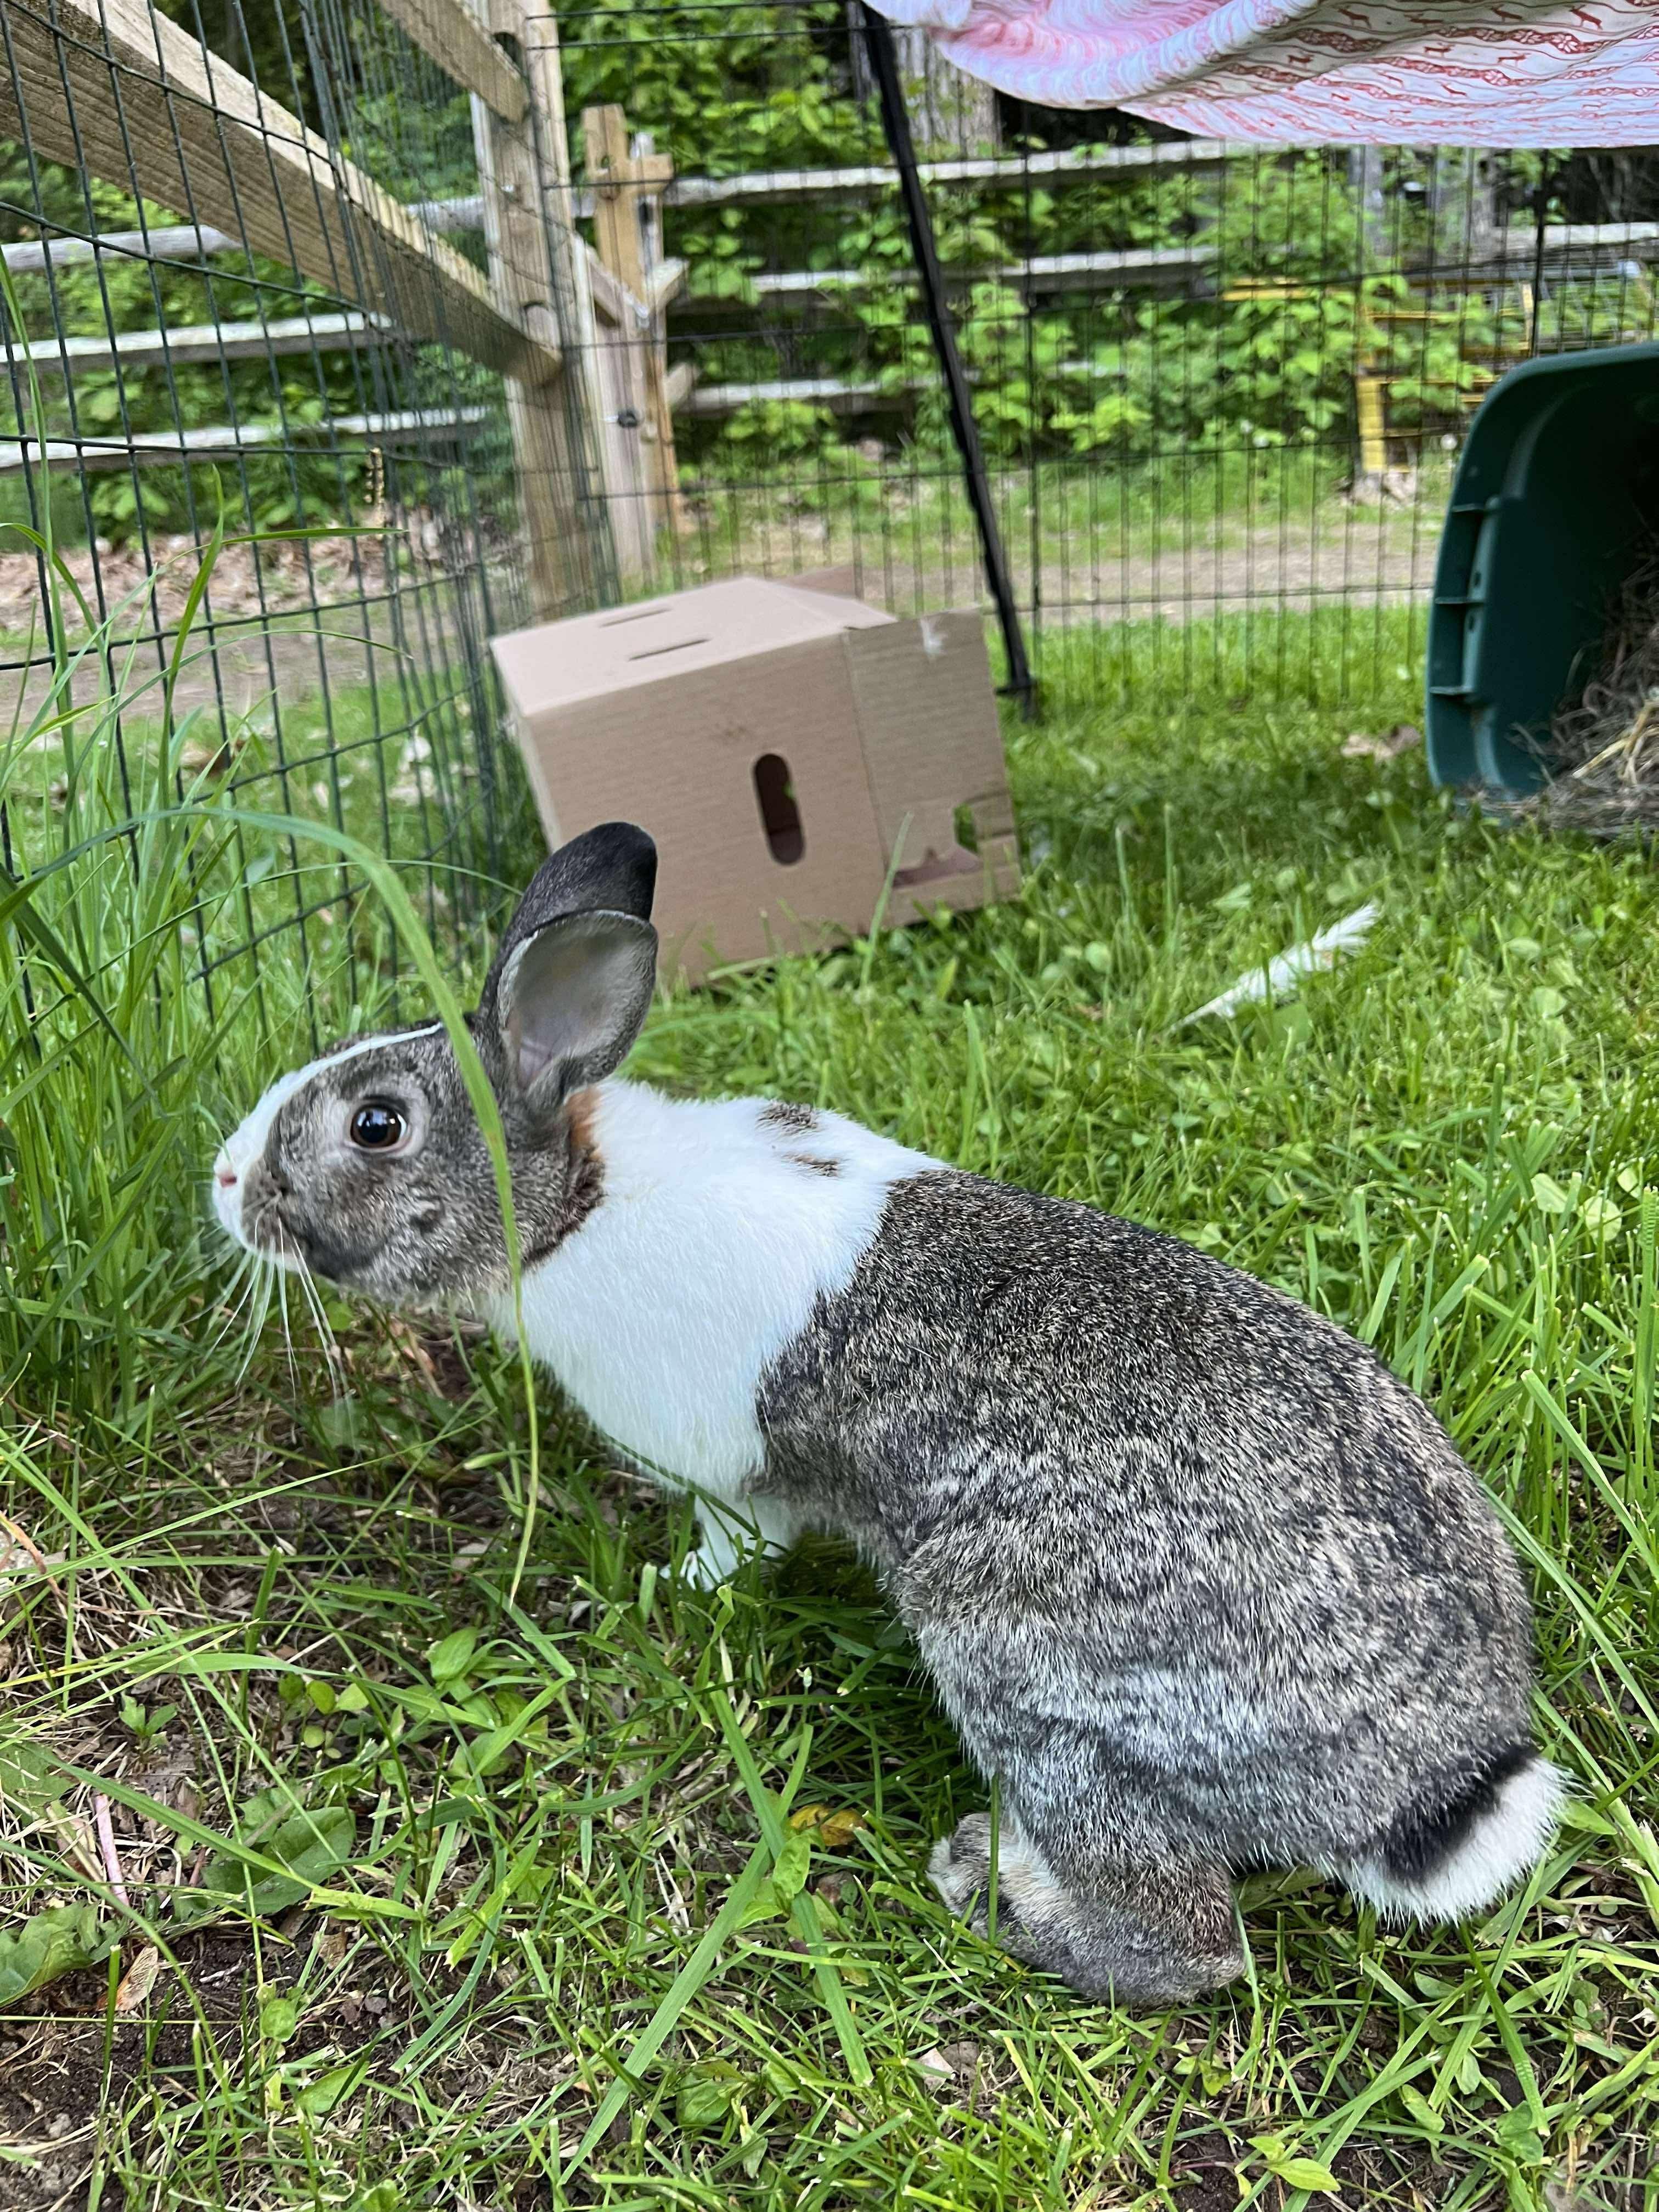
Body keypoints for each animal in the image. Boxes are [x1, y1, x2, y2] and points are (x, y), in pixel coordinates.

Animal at [212, 820, 1562, 2007]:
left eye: (375, 1124)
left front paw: (663, 1590)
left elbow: (732, 1547)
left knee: (1190, 1940)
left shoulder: (728, 1480)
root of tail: (1442, 1772)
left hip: (1032, 1678)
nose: (225, 1182)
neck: (571, 1202)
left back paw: (990, 1888)